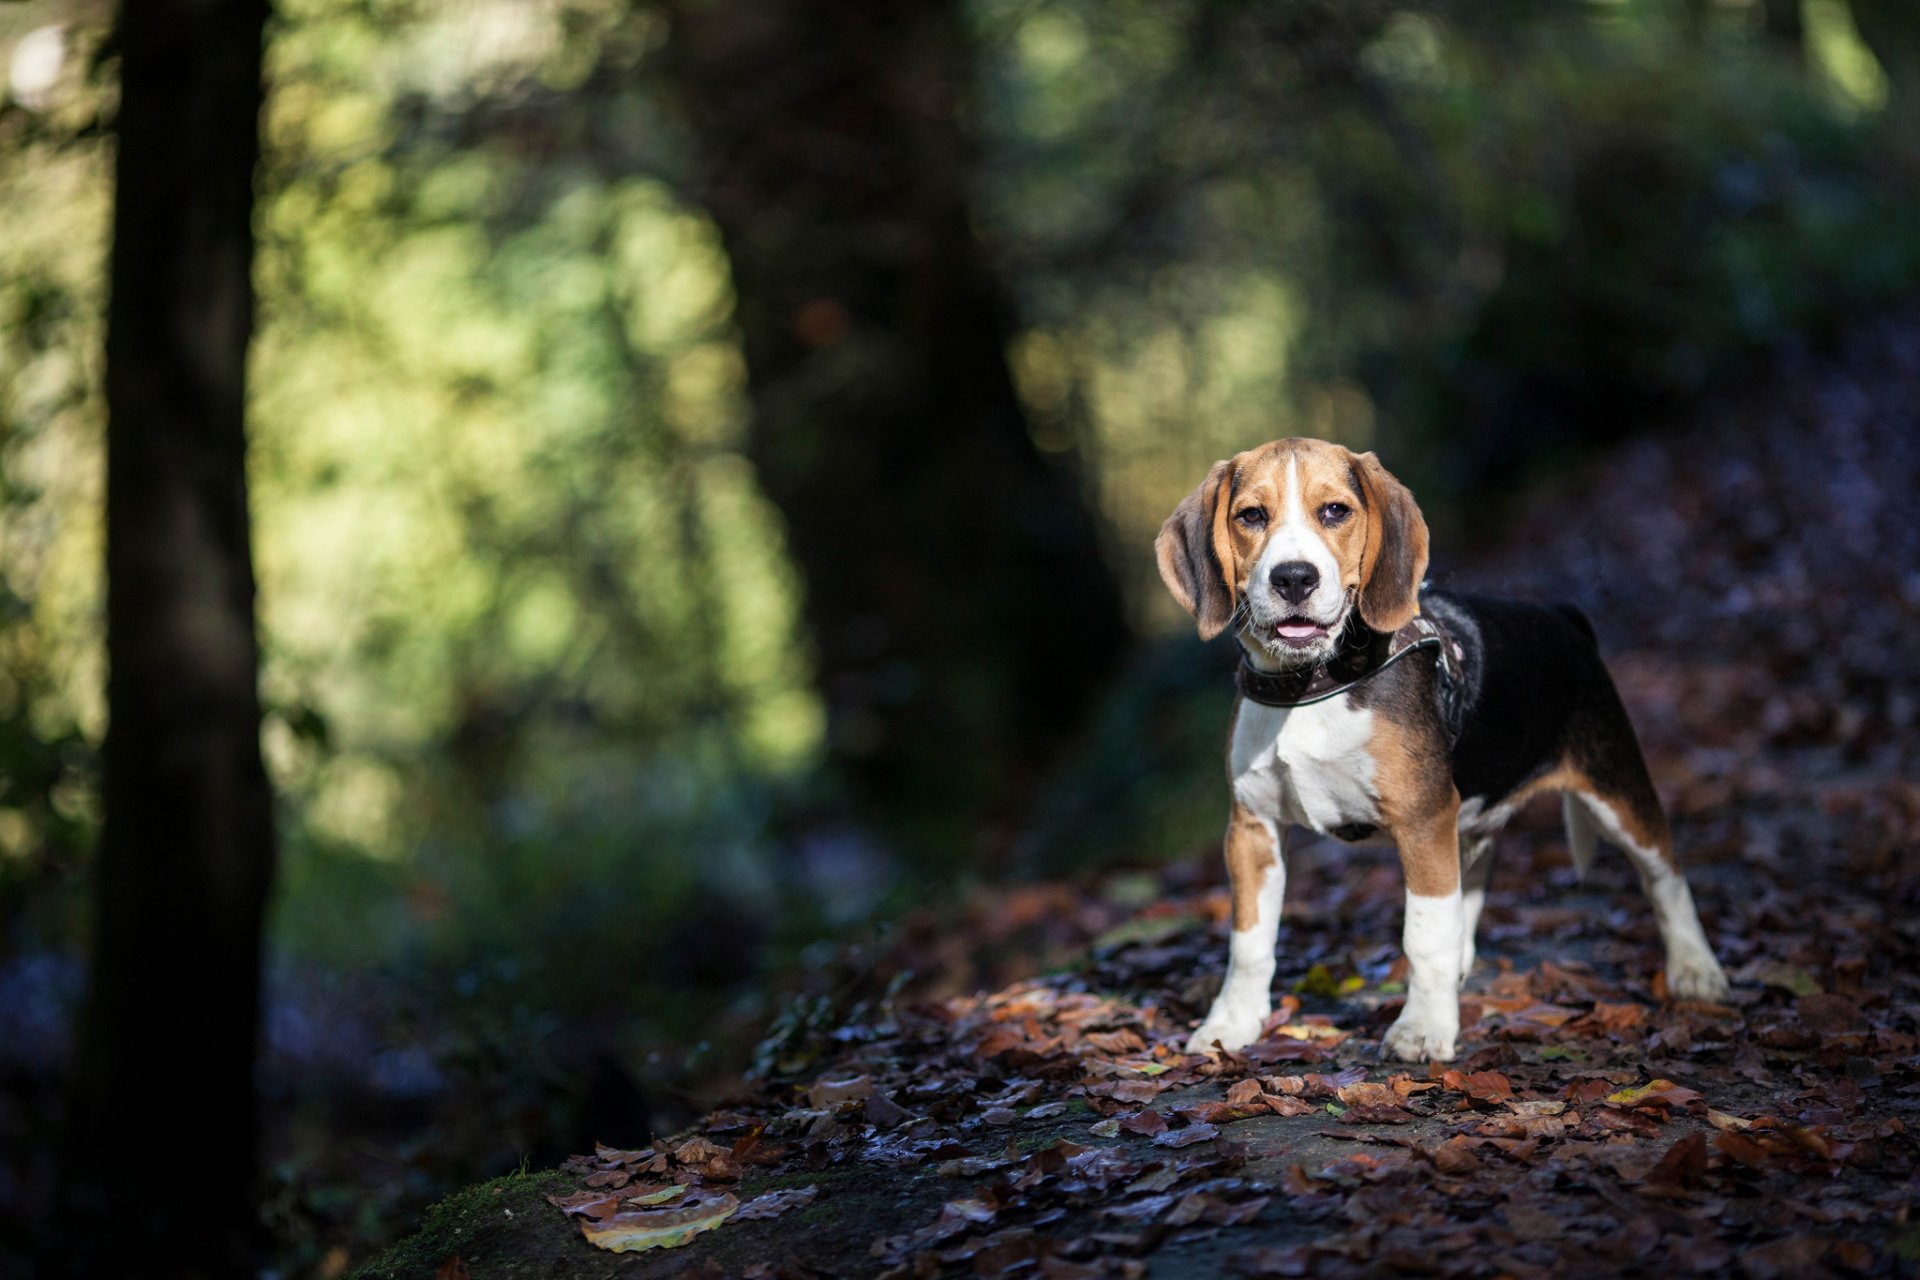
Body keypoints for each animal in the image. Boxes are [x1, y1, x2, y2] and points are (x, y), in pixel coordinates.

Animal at [1159, 441, 1735, 1059]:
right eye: (1251, 516)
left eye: (1335, 512)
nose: (1294, 578)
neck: (1312, 684)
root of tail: (1564, 616)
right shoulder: (1252, 827)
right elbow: (1248, 942)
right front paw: (1232, 1022)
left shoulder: (1422, 818)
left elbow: (1424, 934)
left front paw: (1422, 1028)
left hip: (1615, 788)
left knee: (1665, 872)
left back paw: (1696, 971)